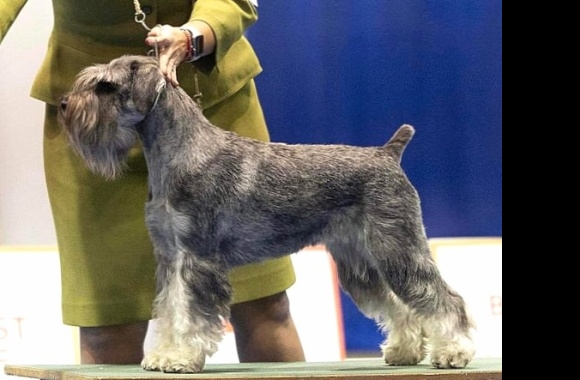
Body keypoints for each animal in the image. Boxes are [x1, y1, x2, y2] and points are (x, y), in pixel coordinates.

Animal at [57, 55, 476, 372]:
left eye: (105, 86)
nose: (63, 105)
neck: (179, 152)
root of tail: (387, 153)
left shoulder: (196, 258)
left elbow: (190, 312)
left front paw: (180, 358)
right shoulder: (170, 257)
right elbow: (170, 308)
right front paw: (163, 354)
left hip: (397, 248)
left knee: (440, 298)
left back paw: (453, 352)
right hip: (361, 262)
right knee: (396, 303)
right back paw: (405, 351)